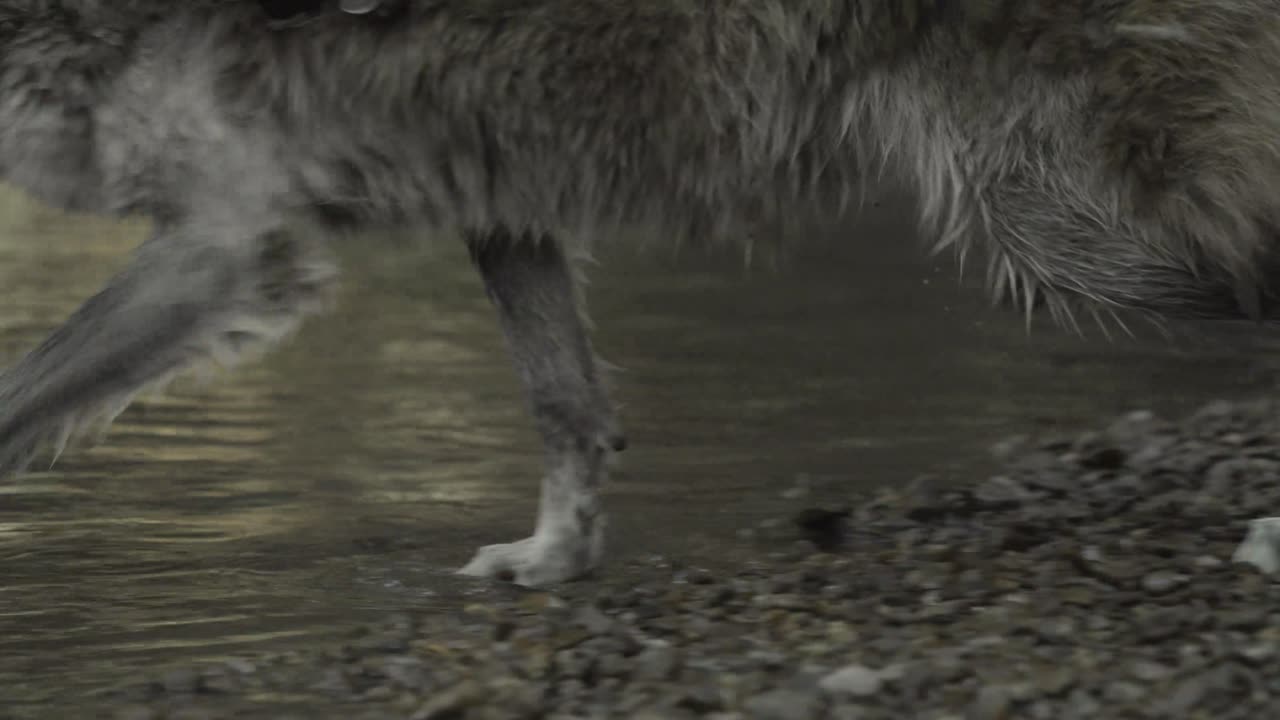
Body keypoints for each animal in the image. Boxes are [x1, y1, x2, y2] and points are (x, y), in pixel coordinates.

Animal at [1, 1, 1280, 587]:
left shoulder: (222, 244)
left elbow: (17, 400)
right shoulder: (503, 201)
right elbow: (567, 408)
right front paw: (553, 561)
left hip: (1063, 235)